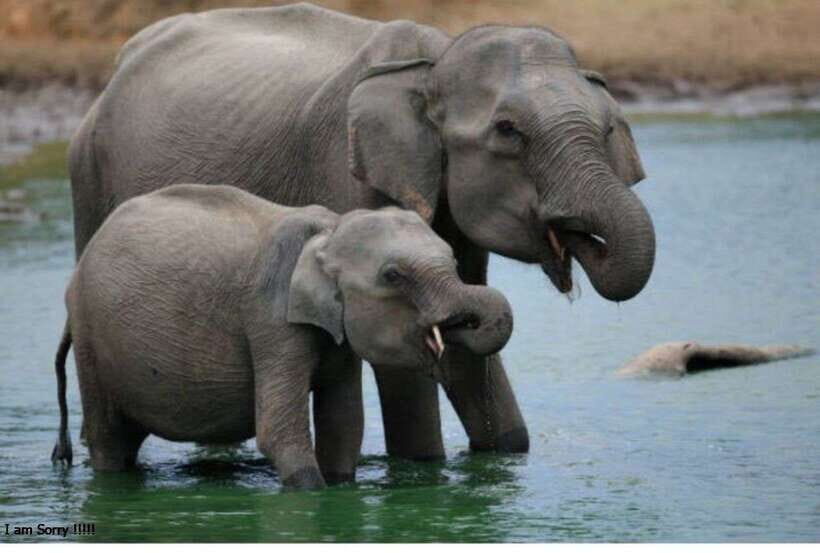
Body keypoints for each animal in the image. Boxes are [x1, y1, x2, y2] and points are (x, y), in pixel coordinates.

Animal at [51, 184, 514, 490]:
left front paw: (342, 489)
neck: (329, 231)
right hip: (92, 341)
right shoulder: (272, 320)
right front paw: (313, 493)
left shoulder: (334, 332)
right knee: (109, 440)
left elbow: (345, 423)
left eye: (453, 259)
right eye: (393, 275)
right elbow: (278, 432)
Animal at [68, 3, 656, 460]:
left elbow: (462, 329)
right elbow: (403, 352)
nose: (575, 240)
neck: (433, 62)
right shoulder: (349, 175)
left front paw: (502, 455)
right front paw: (424, 470)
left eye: (607, 127)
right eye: (509, 131)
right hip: (89, 178)